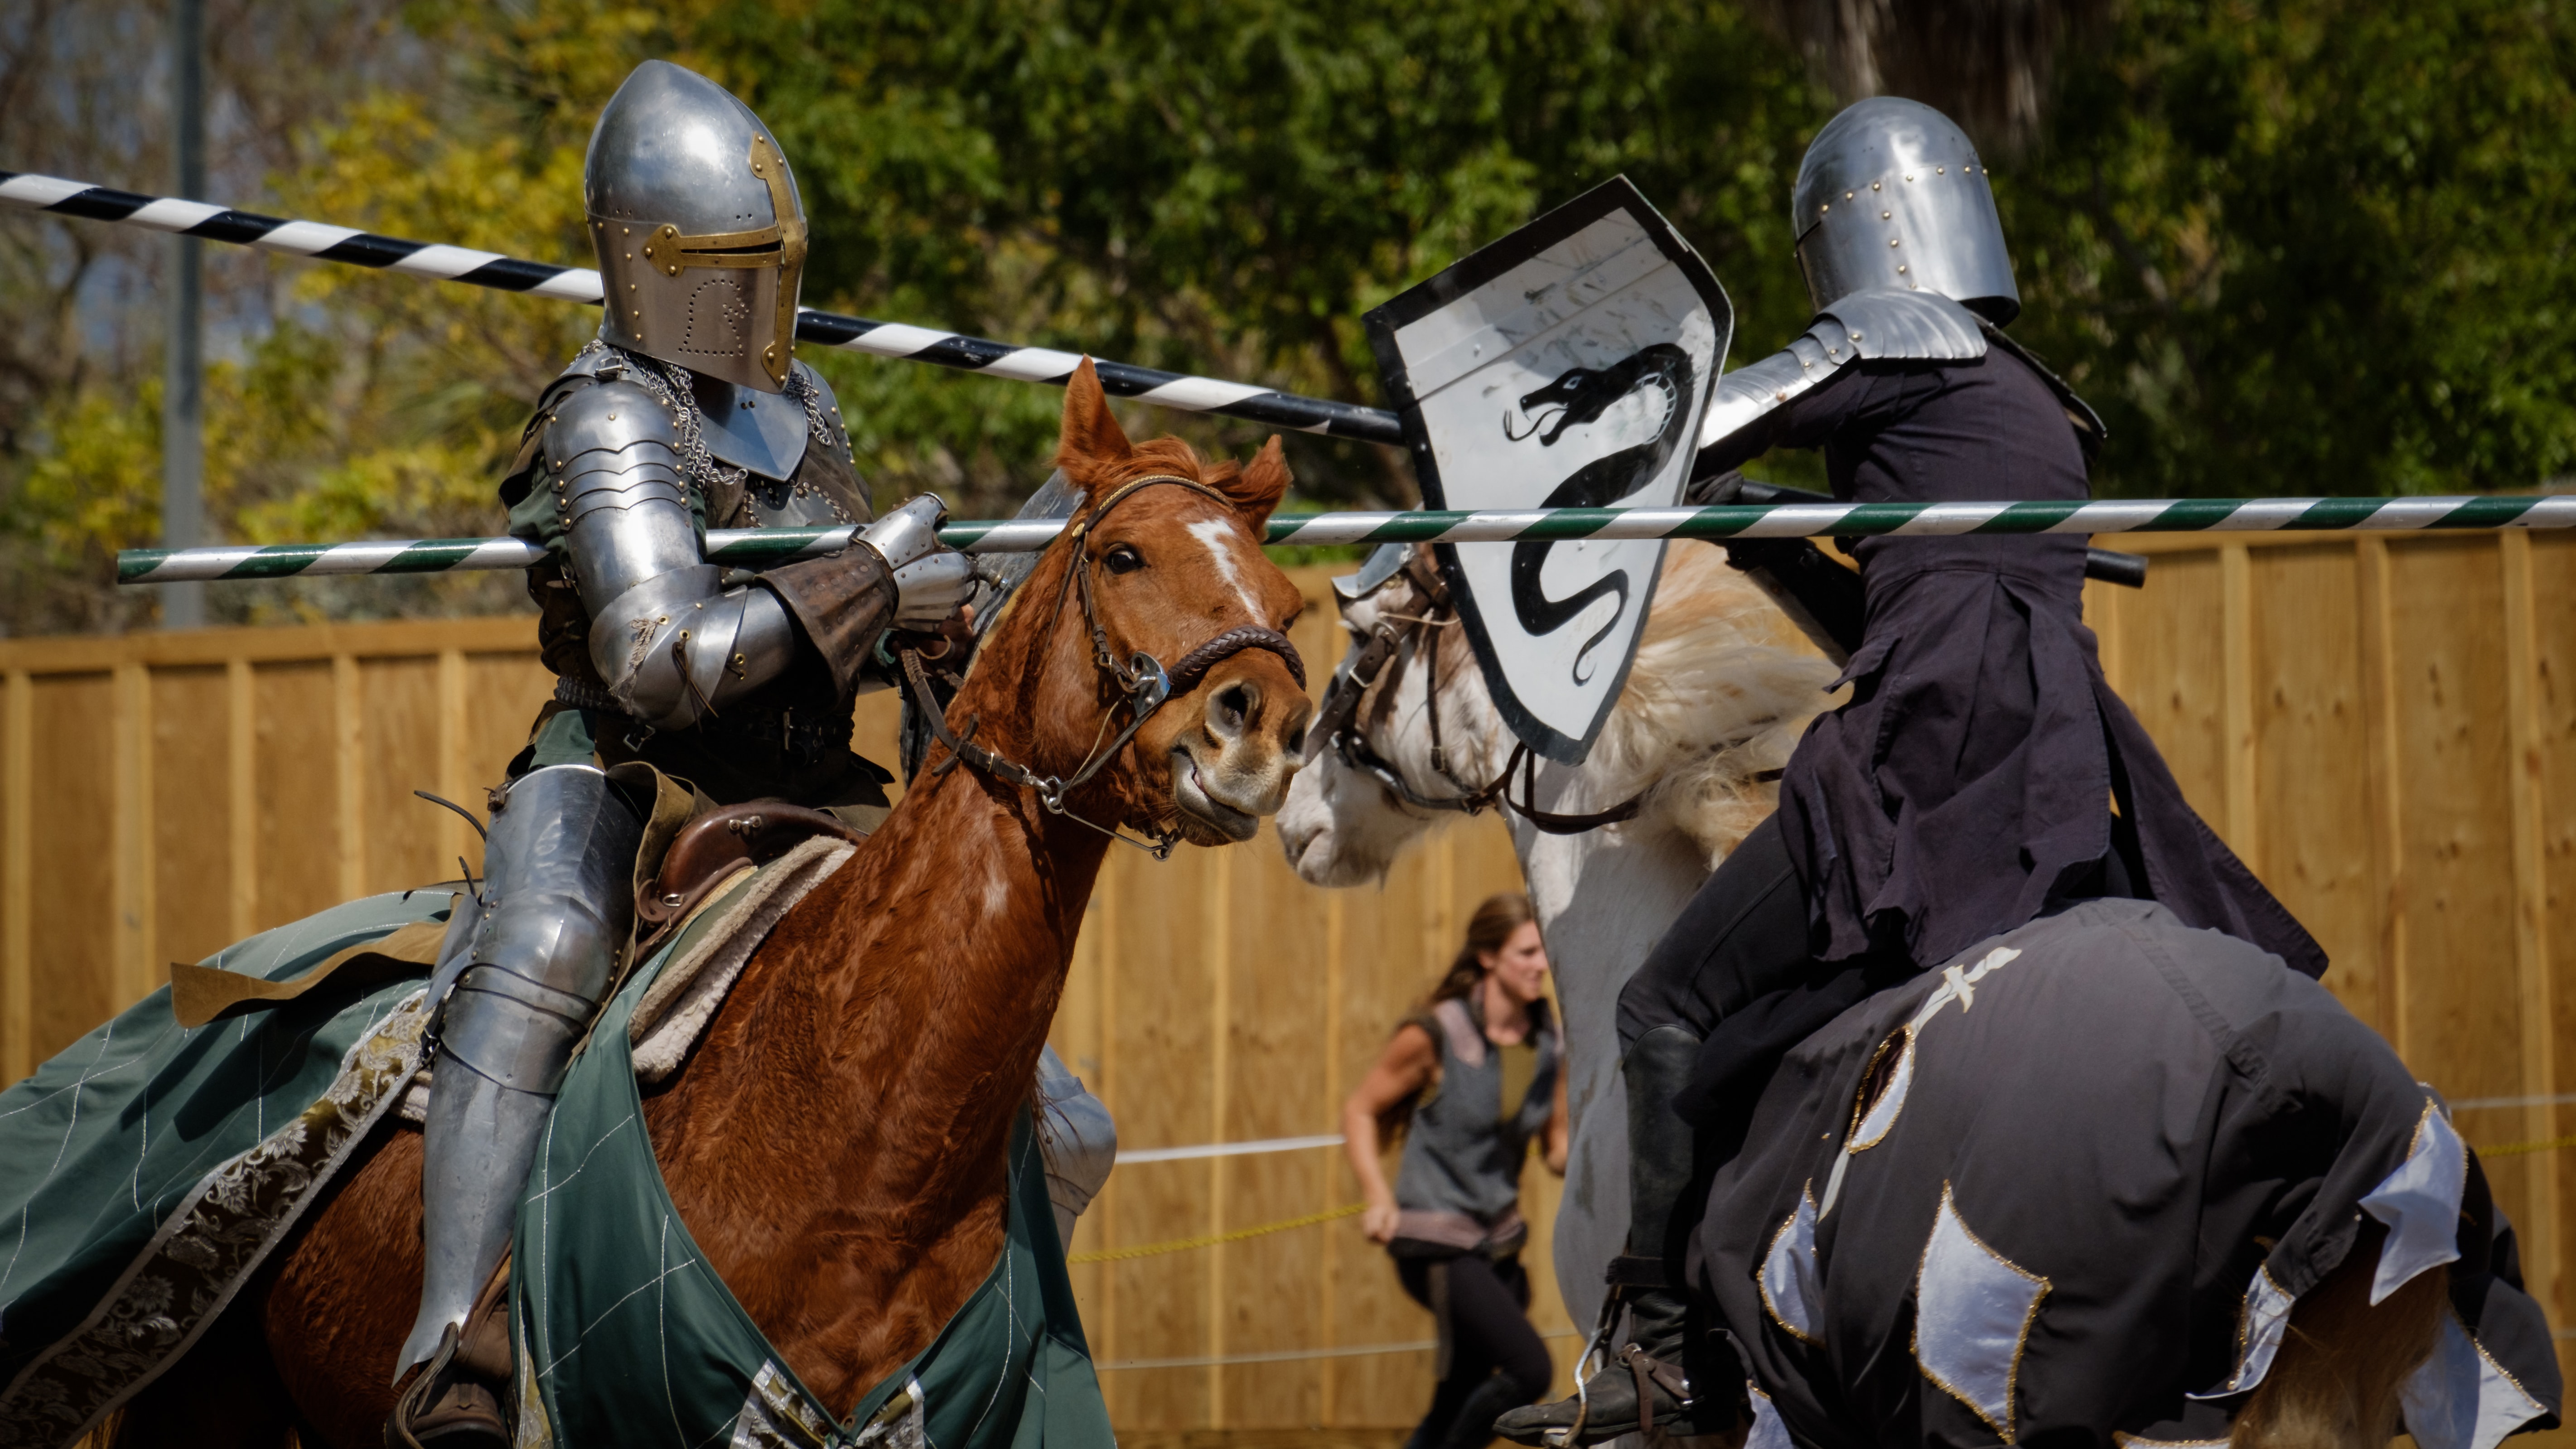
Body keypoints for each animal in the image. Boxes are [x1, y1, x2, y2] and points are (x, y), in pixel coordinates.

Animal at [103, 360, 1319, 1441]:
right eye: (1123, 554)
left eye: (1287, 599)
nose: (1259, 733)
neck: (862, 1140)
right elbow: (665, 642)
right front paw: (905, 559)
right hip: (198, 1400)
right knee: (535, 973)